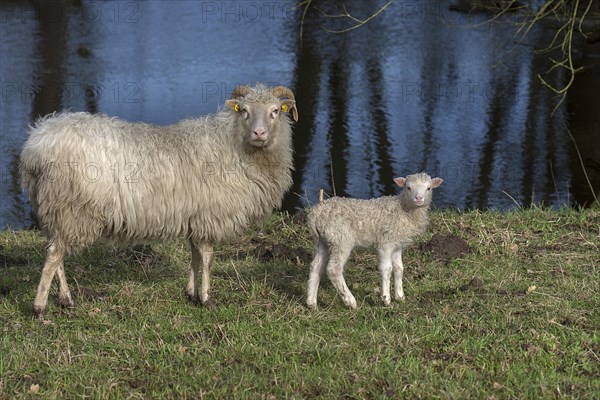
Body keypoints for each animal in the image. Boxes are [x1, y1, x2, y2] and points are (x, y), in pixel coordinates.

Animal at [20, 83, 298, 316]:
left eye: (275, 111)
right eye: (244, 111)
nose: (259, 133)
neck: (234, 145)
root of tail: (37, 144)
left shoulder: (196, 218)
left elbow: (195, 257)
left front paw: (191, 294)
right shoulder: (210, 217)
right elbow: (207, 259)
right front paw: (207, 298)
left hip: (56, 208)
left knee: (56, 253)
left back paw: (66, 299)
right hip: (72, 208)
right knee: (54, 256)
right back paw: (40, 307)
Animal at [308, 173, 442, 310]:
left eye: (429, 188)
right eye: (408, 187)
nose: (419, 198)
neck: (403, 209)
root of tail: (316, 213)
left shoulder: (397, 244)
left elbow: (399, 268)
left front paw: (400, 297)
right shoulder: (385, 243)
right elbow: (386, 269)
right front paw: (386, 299)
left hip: (323, 240)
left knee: (316, 266)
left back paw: (311, 303)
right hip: (340, 239)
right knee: (333, 269)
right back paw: (350, 301)